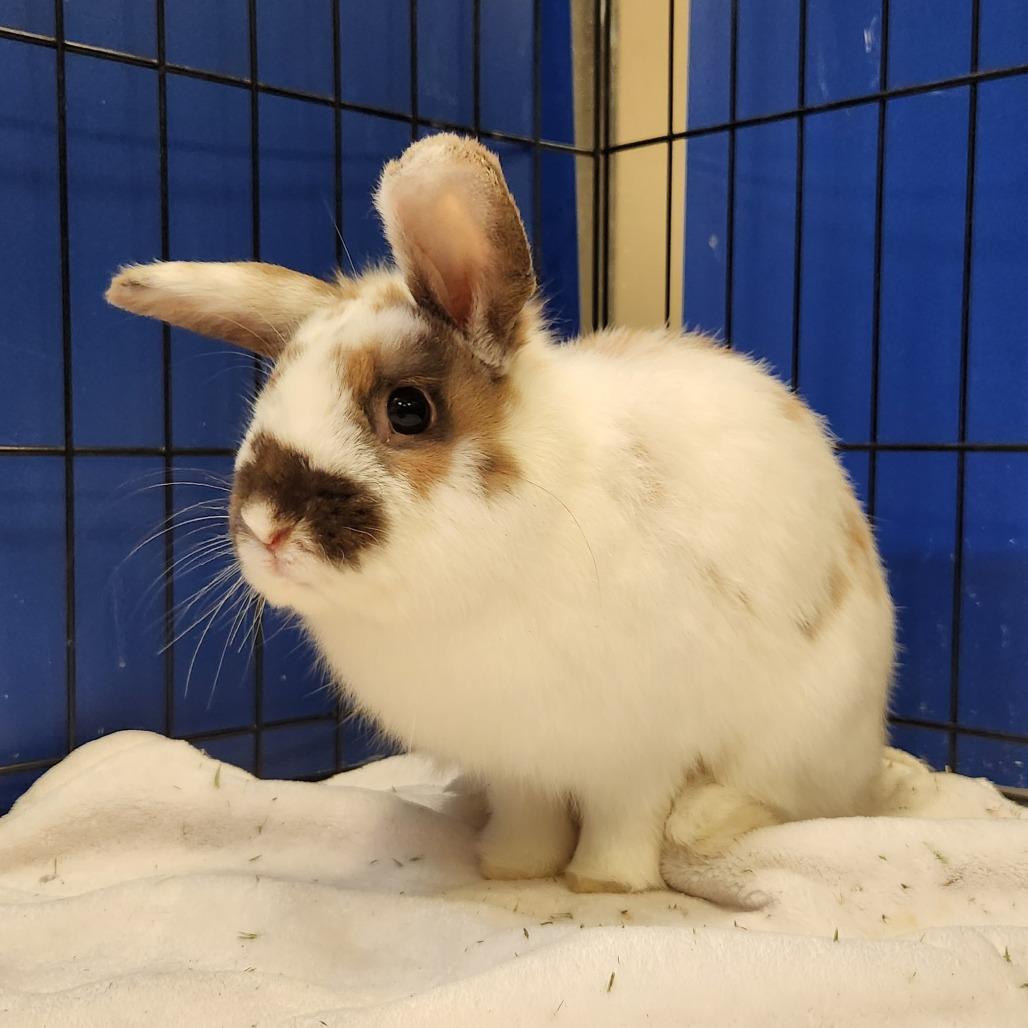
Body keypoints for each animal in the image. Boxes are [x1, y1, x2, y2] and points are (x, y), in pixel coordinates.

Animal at [105, 133, 895, 894]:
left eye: (408, 410)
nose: (266, 524)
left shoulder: (638, 750)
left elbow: (626, 818)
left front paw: (603, 883)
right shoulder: (515, 758)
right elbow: (527, 814)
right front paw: (512, 868)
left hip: (801, 734)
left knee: (778, 798)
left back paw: (699, 823)